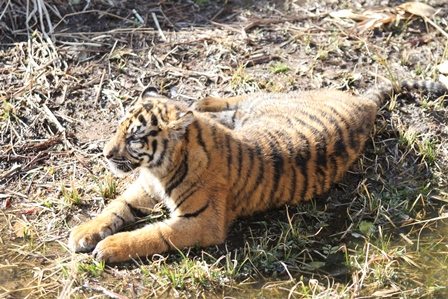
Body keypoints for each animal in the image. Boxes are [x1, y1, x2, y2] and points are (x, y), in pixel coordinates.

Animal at [68, 81, 446, 264]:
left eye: (134, 138)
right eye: (119, 127)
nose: (105, 153)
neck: (161, 168)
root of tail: (364, 103)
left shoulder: (201, 221)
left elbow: (153, 234)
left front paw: (110, 247)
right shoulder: (146, 186)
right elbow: (117, 206)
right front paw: (84, 232)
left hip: (264, 104)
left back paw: (199, 104)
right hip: (259, 105)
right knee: (233, 99)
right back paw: (200, 103)